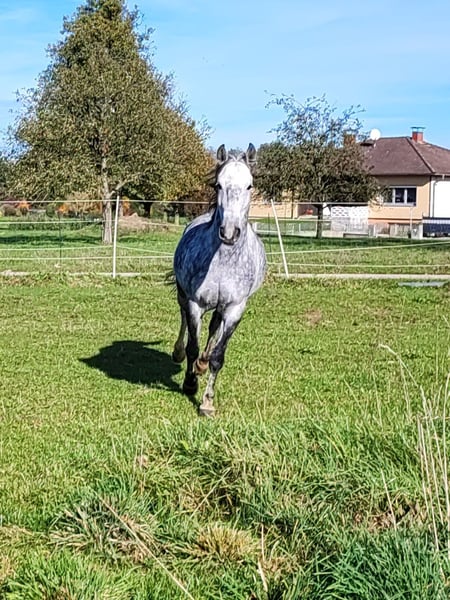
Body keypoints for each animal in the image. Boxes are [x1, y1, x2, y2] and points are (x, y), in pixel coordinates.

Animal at [172, 143, 266, 416]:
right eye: (218, 185)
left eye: (250, 185)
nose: (229, 232)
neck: (224, 260)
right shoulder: (195, 303)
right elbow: (192, 345)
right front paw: (190, 384)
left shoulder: (235, 308)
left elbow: (218, 355)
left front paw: (207, 402)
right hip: (183, 295)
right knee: (184, 320)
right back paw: (179, 354)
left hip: (221, 306)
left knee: (213, 328)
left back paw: (202, 364)